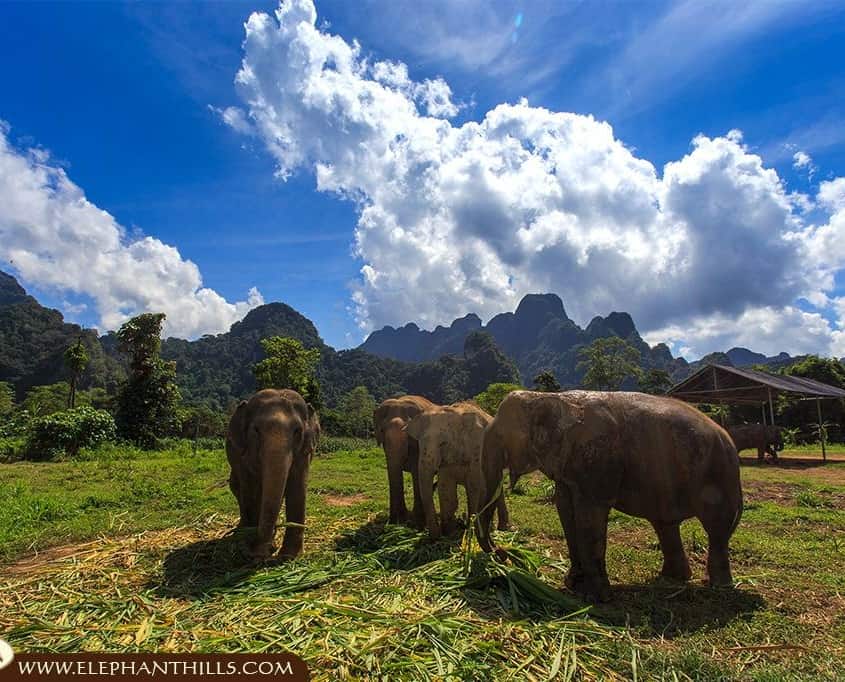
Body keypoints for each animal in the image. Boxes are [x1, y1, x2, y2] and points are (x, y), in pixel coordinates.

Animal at [226, 389, 320, 560]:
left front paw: (289, 556)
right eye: (256, 430)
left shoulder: (305, 451)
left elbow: (297, 486)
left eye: (297, 431)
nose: (260, 551)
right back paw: (240, 533)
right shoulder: (243, 455)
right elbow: (250, 490)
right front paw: (252, 551)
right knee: (239, 489)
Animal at [373, 395, 437, 526]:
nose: (393, 520)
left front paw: (418, 523)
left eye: (408, 432)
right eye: (382, 431)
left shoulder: (419, 444)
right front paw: (399, 521)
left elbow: (416, 471)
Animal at [405, 401, 510, 539]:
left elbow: (475, 487)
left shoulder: (478, 449)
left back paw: (501, 528)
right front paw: (450, 533)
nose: (436, 536)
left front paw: (471, 531)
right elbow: (446, 489)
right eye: (419, 444)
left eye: (443, 443)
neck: (456, 414)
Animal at [478, 390, 743, 602]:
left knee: (715, 528)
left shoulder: (597, 459)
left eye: (500, 437)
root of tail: (728, 438)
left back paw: (719, 587)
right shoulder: (569, 466)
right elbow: (565, 510)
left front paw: (596, 598)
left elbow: (589, 516)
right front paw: (573, 585)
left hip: (716, 474)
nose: (501, 552)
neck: (548, 396)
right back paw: (673, 578)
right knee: (665, 525)